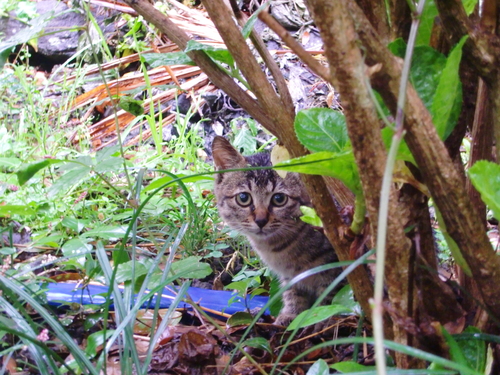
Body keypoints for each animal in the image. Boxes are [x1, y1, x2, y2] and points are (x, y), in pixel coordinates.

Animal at [213, 136, 342, 326]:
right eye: (243, 198)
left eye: (279, 199)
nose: (260, 220)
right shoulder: (290, 275)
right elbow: (293, 293)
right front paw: (291, 315)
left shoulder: (334, 265)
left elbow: (330, 295)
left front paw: (321, 319)